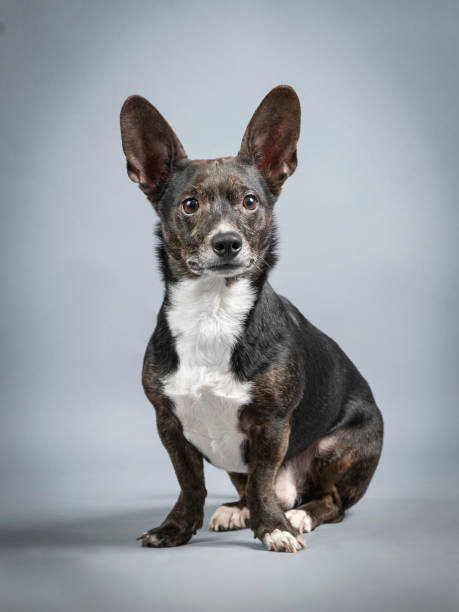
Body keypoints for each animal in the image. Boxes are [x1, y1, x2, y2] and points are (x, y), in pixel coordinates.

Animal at [119, 83, 384, 552]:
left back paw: (297, 514)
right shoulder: (169, 425)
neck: (214, 311)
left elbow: (262, 480)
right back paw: (238, 510)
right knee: (248, 488)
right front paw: (176, 527)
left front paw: (273, 528)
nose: (227, 242)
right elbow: (190, 483)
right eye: (190, 205)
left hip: (338, 445)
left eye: (250, 202)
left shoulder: (271, 426)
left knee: (330, 501)